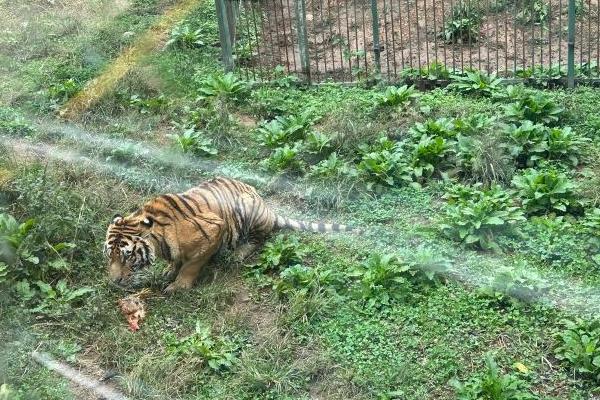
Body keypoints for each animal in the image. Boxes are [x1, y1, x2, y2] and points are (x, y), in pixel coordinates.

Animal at [103, 177, 358, 292]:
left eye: (128, 256)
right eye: (109, 256)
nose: (114, 282)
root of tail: (268, 208)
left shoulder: (214, 229)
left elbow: (191, 265)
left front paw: (179, 285)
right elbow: (177, 260)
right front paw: (169, 270)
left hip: (248, 210)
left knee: (260, 239)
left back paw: (238, 254)